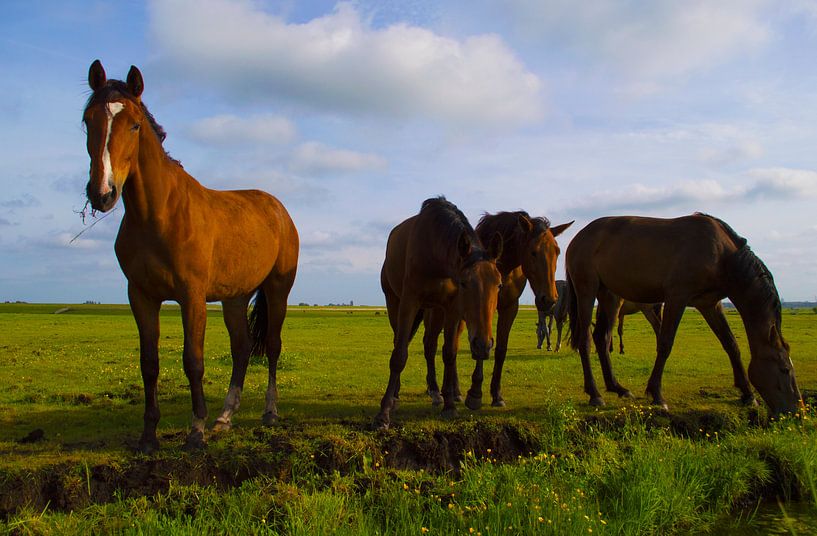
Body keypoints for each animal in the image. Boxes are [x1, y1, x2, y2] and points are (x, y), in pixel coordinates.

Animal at [82, 60, 299, 452]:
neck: (158, 214)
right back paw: (225, 417)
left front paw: (195, 432)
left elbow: (193, 360)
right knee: (242, 348)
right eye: (88, 120)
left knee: (272, 347)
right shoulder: (141, 296)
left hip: (277, 291)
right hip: (234, 297)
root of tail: (277, 209)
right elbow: (149, 363)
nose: (102, 192)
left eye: (134, 125)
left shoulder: (191, 296)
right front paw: (149, 436)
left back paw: (269, 412)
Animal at [373, 197, 503, 429]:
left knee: (430, 345)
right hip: (395, 302)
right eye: (465, 282)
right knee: (401, 341)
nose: (482, 345)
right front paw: (383, 414)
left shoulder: (451, 307)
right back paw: (396, 396)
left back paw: (435, 392)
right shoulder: (409, 302)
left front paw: (450, 407)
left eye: (499, 284)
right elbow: (399, 355)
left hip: (434, 310)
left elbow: (449, 353)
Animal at [565, 213, 801, 416]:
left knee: (602, 338)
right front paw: (657, 395)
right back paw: (595, 394)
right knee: (585, 340)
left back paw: (618, 388)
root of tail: (578, 238)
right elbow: (665, 344)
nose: (796, 411)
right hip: (587, 290)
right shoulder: (677, 298)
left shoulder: (710, 304)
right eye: (784, 370)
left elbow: (731, 345)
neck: (721, 254)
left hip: (610, 296)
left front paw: (748, 394)